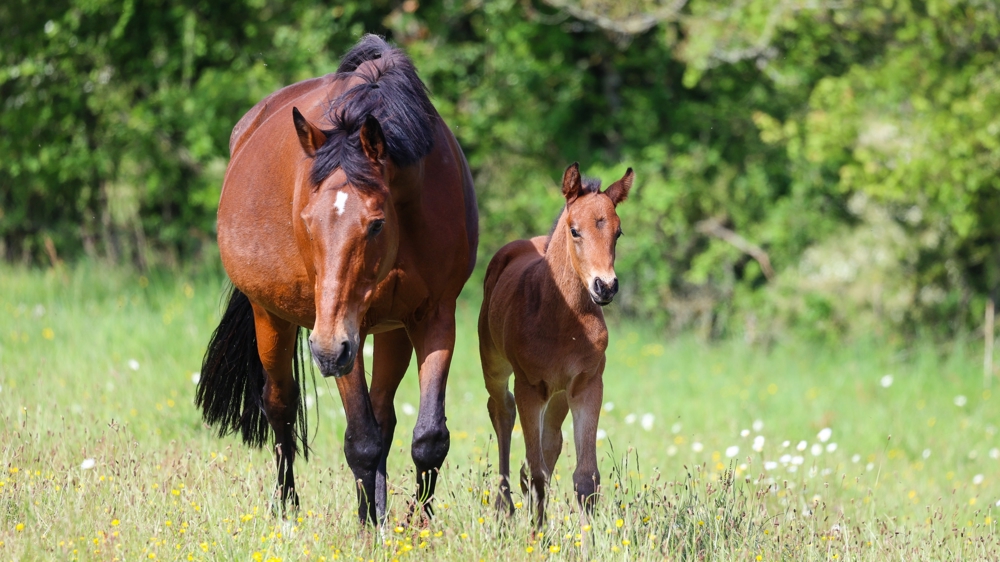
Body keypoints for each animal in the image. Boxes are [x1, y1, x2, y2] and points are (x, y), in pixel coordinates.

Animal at [197, 36, 478, 524]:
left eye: (376, 224)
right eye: (306, 221)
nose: (327, 352)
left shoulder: (435, 317)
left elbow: (428, 438)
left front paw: (415, 525)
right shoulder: (346, 329)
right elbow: (361, 440)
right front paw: (368, 527)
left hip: (389, 330)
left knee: (383, 415)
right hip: (271, 316)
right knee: (280, 404)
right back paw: (287, 507)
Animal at [478, 162, 632, 524]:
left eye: (618, 232)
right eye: (575, 231)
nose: (605, 287)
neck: (563, 321)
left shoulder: (587, 384)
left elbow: (585, 477)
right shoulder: (529, 386)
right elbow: (538, 473)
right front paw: (537, 531)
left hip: (560, 393)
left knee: (551, 441)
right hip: (494, 364)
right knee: (501, 410)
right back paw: (504, 506)